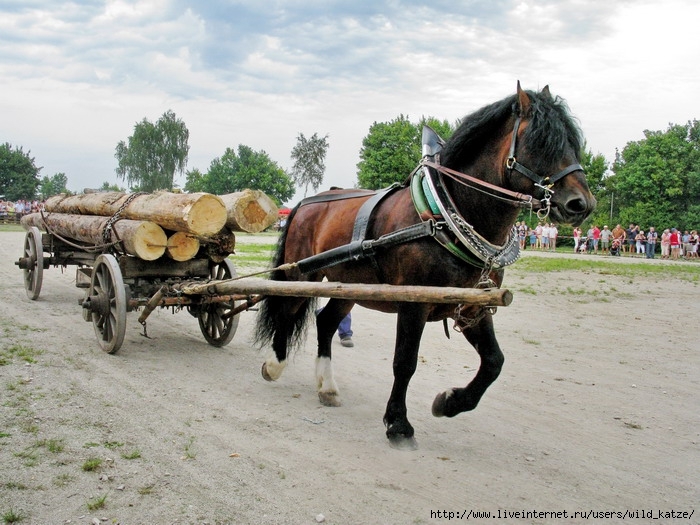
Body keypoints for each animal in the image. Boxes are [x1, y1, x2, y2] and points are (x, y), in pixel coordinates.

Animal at [254, 82, 592, 446]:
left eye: (573, 142)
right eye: (542, 142)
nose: (582, 204)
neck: (441, 215)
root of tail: (309, 201)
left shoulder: (472, 306)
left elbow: (494, 361)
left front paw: (449, 402)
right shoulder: (413, 304)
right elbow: (405, 362)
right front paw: (398, 423)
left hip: (351, 285)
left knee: (326, 322)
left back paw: (327, 387)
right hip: (302, 273)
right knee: (287, 311)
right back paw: (275, 364)